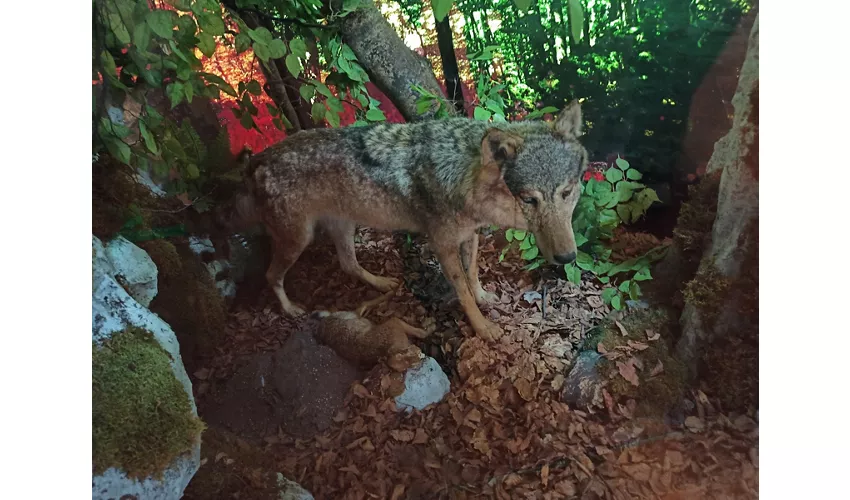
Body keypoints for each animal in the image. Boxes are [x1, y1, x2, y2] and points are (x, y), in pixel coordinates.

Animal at [244, 101, 589, 341]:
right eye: (529, 199)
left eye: (566, 192)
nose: (567, 257)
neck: (461, 176)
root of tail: (259, 159)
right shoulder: (442, 246)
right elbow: (462, 291)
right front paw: (482, 328)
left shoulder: (470, 234)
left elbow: (473, 273)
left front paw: (484, 297)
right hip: (298, 240)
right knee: (271, 275)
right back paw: (290, 309)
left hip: (344, 226)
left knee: (348, 264)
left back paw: (383, 282)